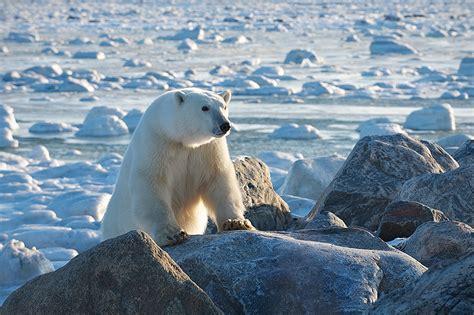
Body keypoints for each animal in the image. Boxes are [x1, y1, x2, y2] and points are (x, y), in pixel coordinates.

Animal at [101, 87, 254, 246]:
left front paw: (235, 222)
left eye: (224, 106)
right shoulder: (156, 143)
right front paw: (173, 234)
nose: (225, 125)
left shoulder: (209, 148)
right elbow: (152, 184)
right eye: (204, 107)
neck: (182, 140)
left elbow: (219, 180)